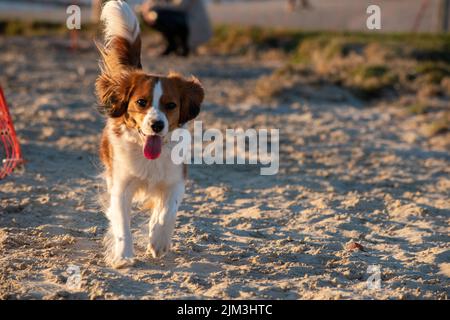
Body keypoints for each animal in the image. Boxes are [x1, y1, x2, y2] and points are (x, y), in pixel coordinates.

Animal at [96, 0, 206, 268]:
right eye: (141, 102)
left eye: (171, 105)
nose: (156, 125)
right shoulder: (121, 186)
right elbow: (121, 223)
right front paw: (123, 256)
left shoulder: (175, 180)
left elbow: (167, 212)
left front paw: (158, 240)